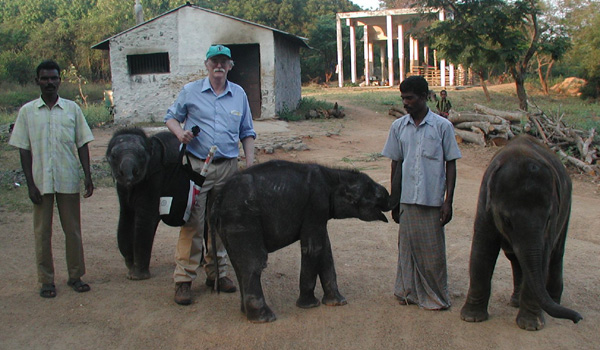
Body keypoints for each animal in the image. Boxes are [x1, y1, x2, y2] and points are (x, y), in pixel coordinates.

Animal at [213, 159, 392, 322]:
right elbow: (314, 248)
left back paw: (246, 314)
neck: (334, 176)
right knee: (254, 263)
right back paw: (265, 318)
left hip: (230, 225)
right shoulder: (316, 204)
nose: (390, 200)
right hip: (242, 218)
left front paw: (338, 303)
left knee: (239, 265)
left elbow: (326, 249)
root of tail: (220, 196)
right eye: (375, 197)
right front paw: (310, 305)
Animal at [460, 134, 580, 330]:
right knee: (515, 258)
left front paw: (530, 326)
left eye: (548, 218)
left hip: (568, 205)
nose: (578, 319)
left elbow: (543, 255)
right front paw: (471, 318)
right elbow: (482, 249)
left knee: (555, 253)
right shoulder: (485, 202)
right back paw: (516, 302)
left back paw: (553, 302)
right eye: (507, 220)